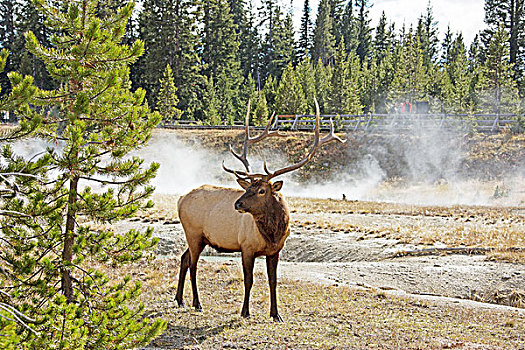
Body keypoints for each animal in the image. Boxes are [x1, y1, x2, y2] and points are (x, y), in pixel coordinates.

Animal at [175, 100, 344, 322]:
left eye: (262, 190)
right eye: (248, 188)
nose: (237, 204)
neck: (272, 234)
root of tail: (180, 199)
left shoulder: (276, 251)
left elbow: (273, 281)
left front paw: (276, 314)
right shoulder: (246, 247)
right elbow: (249, 280)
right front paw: (245, 312)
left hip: (200, 238)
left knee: (184, 258)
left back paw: (180, 299)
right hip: (193, 233)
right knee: (193, 265)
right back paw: (197, 303)